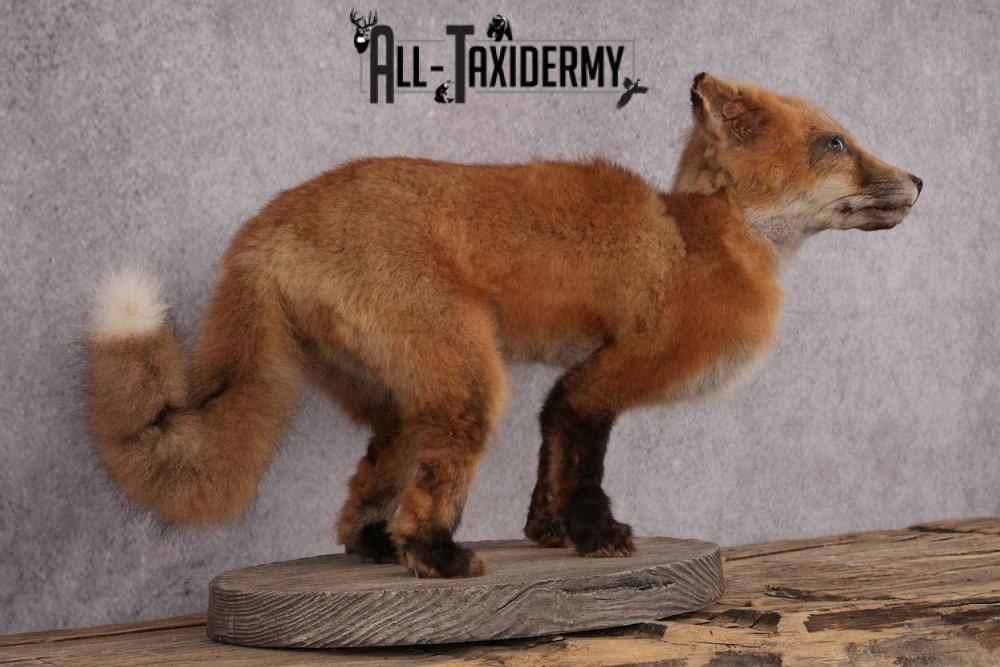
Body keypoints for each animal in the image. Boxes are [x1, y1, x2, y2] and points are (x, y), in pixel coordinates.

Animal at [85, 73, 922, 578]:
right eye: (836, 144)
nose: (919, 179)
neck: (697, 237)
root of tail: (273, 219)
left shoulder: (575, 375)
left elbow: (550, 454)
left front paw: (547, 531)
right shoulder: (613, 371)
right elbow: (580, 460)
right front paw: (596, 535)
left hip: (405, 403)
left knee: (362, 496)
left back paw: (377, 547)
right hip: (469, 384)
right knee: (426, 497)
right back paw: (435, 556)